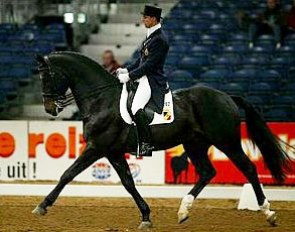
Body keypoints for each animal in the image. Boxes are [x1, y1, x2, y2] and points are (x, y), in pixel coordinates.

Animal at [33, 52, 294, 228]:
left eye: (48, 76)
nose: (49, 108)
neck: (101, 99)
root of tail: (226, 96)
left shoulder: (97, 147)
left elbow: (67, 174)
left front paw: (42, 206)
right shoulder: (113, 151)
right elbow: (128, 183)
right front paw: (146, 216)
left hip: (226, 141)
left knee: (248, 168)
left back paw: (268, 213)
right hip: (195, 144)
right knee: (207, 172)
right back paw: (183, 211)